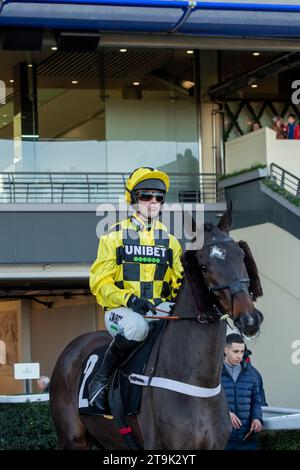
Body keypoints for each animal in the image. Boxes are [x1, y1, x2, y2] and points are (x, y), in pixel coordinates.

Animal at [50, 207, 264, 450]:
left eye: (241, 256)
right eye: (203, 266)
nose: (249, 319)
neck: (199, 383)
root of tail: (72, 347)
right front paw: (139, 303)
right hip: (71, 439)